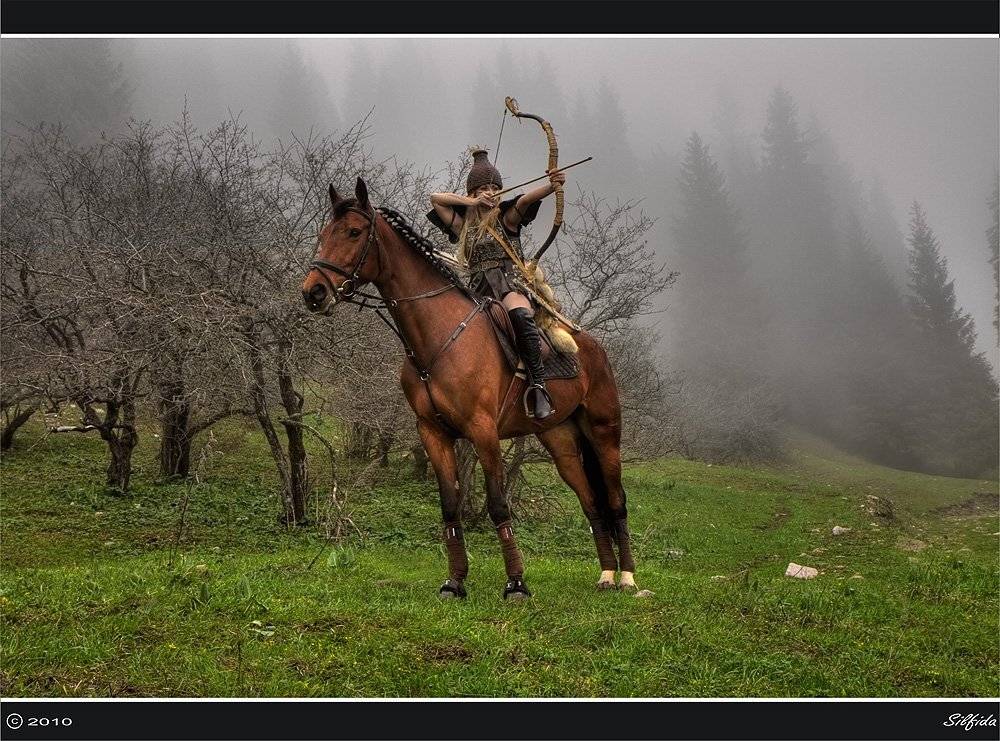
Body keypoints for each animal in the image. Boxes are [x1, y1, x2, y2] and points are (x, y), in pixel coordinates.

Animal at [302, 178, 636, 600]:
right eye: (324, 234)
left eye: (353, 232)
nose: (313, 292)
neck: (439, 335)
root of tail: (592, 348)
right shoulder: (433, 432)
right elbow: (449, 506)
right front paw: (455, 581)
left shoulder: (483, 431)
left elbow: (497, 505)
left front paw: (516, 584)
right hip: (560, 439)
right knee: (591, 503)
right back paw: (606, 574)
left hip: (605, 433)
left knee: (616, 499)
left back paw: (627, 577)